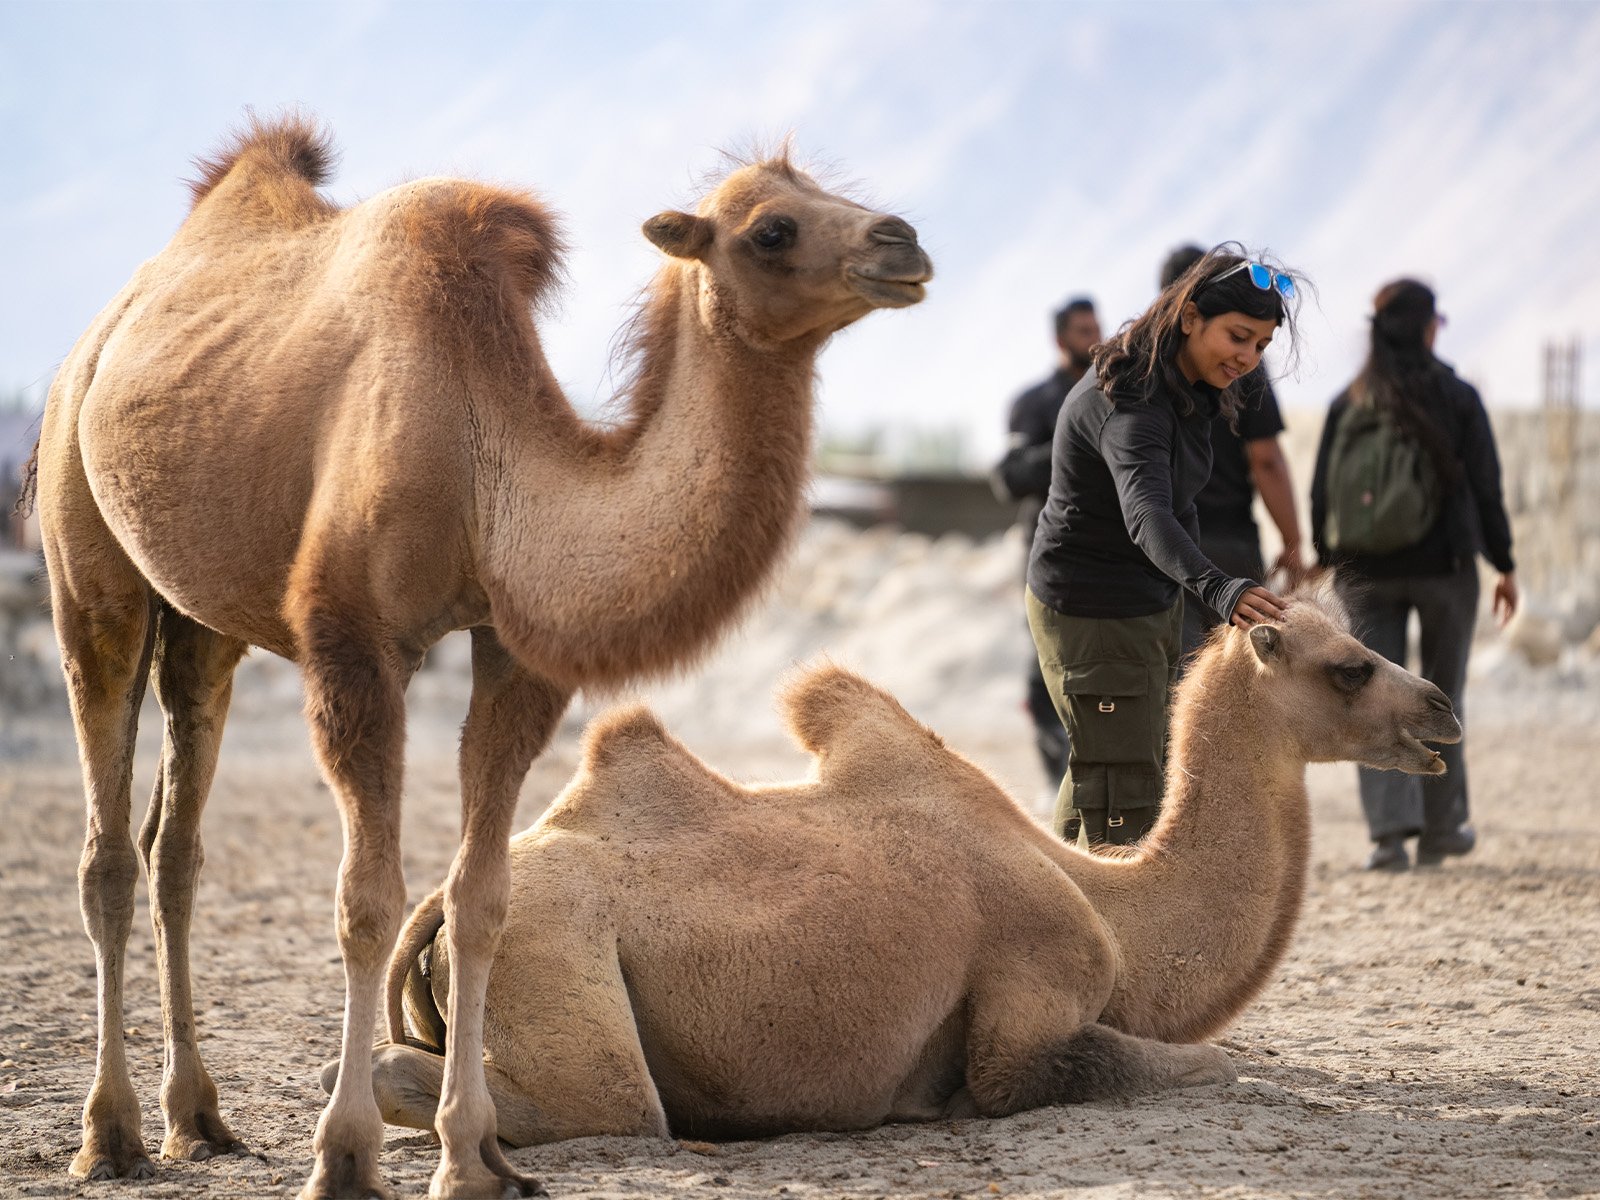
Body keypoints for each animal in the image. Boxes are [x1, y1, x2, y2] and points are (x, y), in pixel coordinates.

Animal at [33, 114, 931, 1199]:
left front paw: (471, 1158)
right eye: (771, 228)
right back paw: (109, 1136)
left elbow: (479, 900)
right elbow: (368, 902)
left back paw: (197, 1121)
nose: (903, 242)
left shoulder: (517, 654)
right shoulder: (353, 643)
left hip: (203, 619)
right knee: (108, 850)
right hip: (87, 559)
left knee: (176, 846)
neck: (481, 462)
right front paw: (344, 1156)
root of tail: (100, 337)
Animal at [357, 594, 1461, 1143]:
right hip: (559, 960)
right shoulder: (1032, 1002)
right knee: (582, 1104)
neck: (1112, 904)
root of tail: (439, 909)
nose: (1442, 707)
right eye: (1350, 665)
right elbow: (1202, 1063)